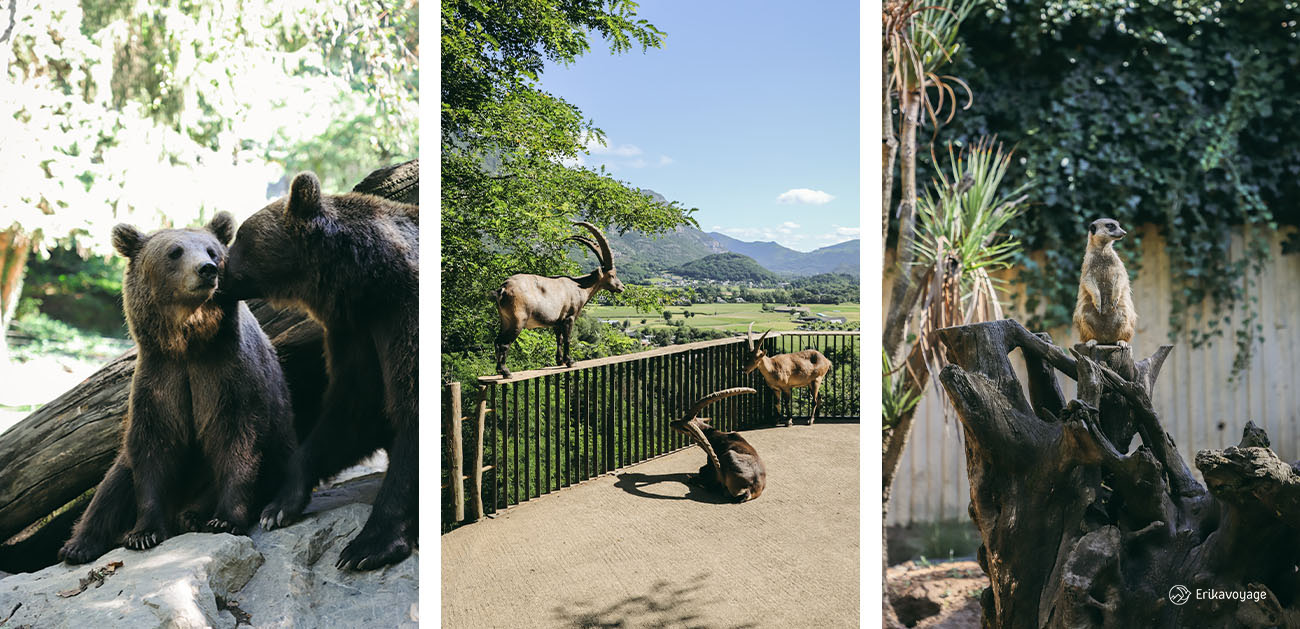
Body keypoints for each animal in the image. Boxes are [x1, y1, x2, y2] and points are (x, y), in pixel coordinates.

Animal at [58, 213, 295, 564]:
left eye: (212, 251)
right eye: (174, 252)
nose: (206, 269)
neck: (187, 343)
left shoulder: (227, 375)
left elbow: (237, 438)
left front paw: (225, 519)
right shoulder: (161, 379)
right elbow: (154, 447)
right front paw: (143, 533)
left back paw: (194, 516)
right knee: (110, 487)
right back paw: (78, 544)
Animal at [220, 170, 418, 569]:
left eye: (240, 240)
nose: (216, 270)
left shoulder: (403, 313)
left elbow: (410, 413)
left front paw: (368, 545)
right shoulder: (356, 329)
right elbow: (354, 409)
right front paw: (278, 506)